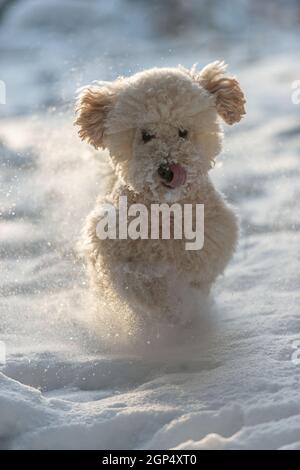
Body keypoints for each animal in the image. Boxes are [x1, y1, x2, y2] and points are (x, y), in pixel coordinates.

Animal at [75, 61, 246, 320]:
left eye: (183, 132)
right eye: (146, 135)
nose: (167, 170)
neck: (166, 210)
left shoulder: (211, 240)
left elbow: (196, 275)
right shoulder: (110, 244)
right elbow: (133, 279)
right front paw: (156, 295)